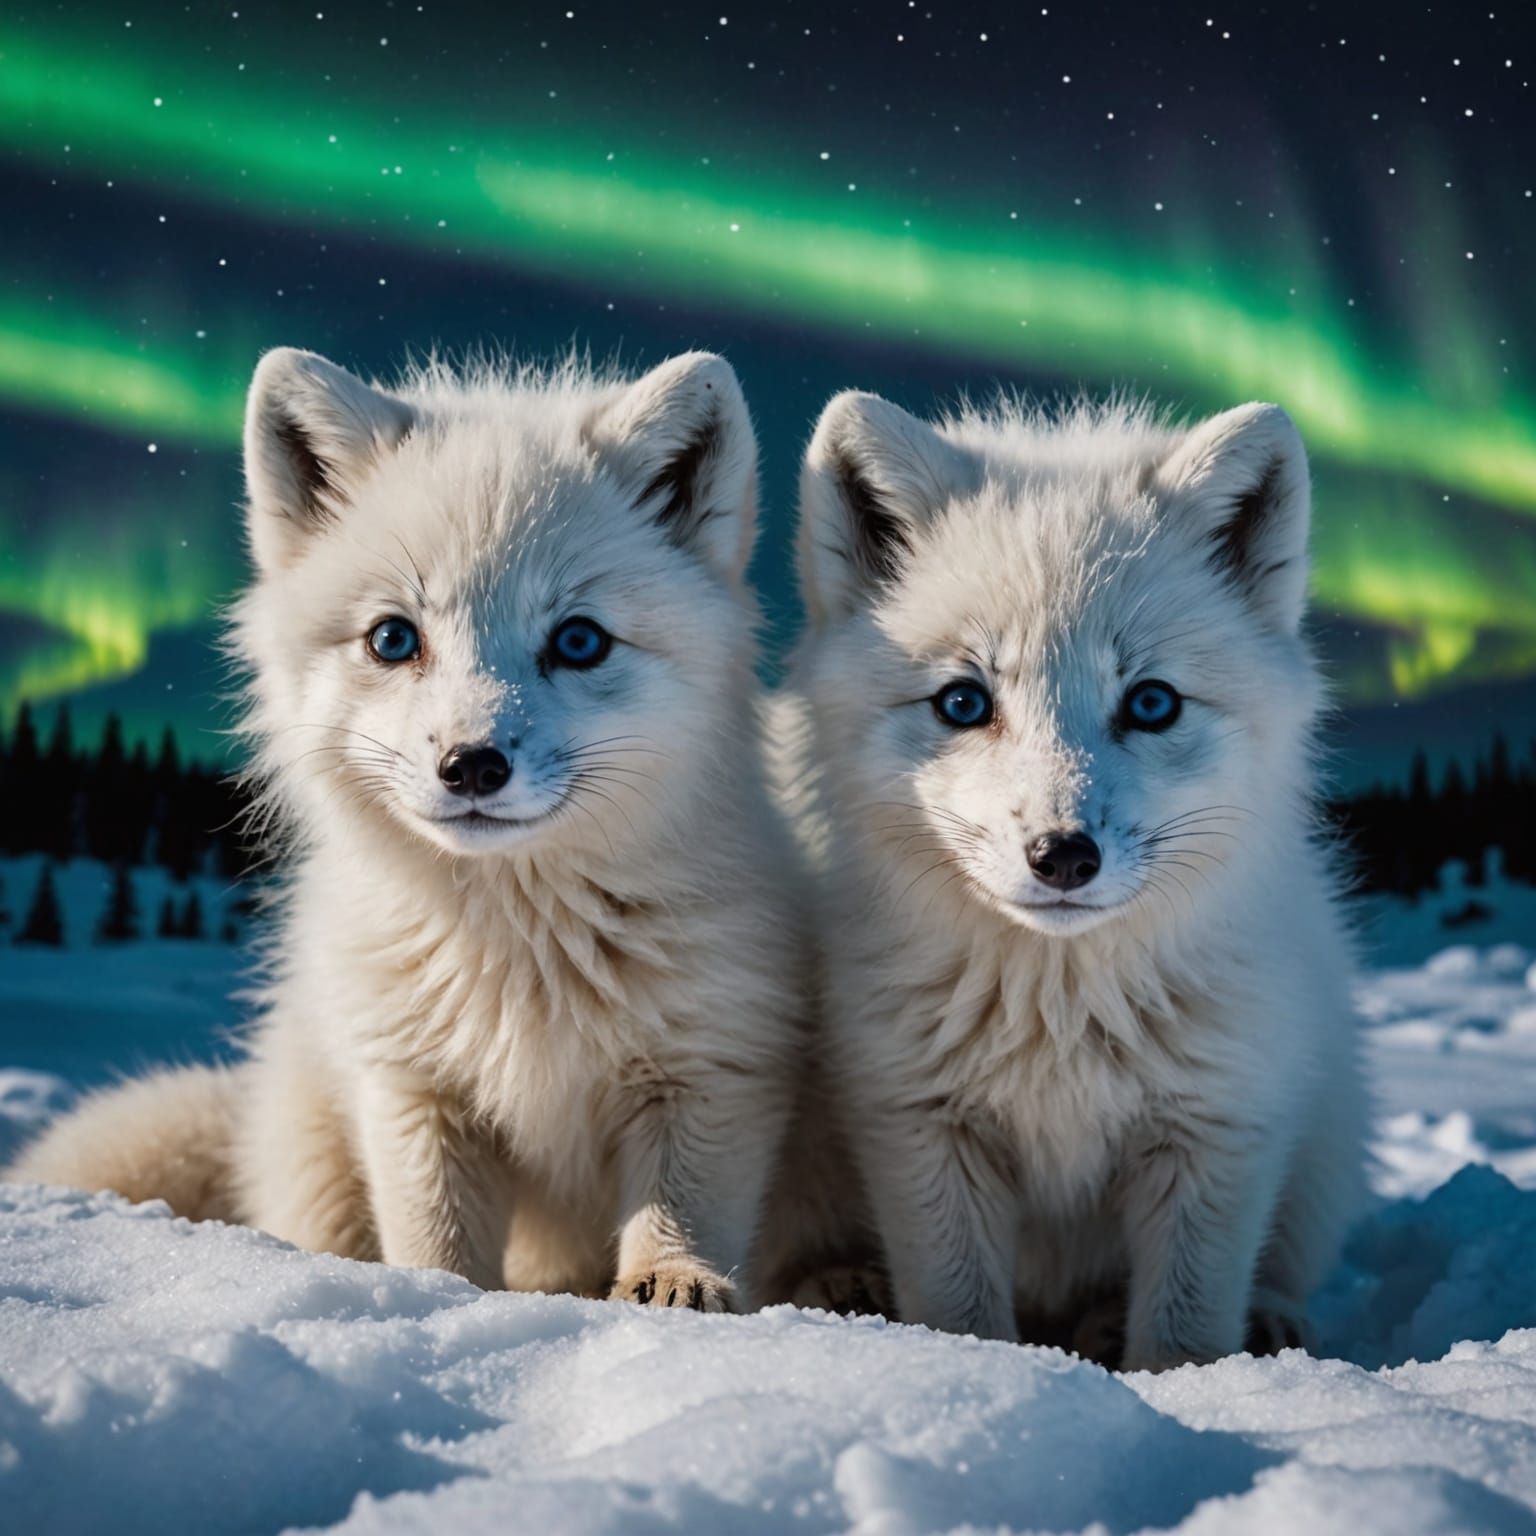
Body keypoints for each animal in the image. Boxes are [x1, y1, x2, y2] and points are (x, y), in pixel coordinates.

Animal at [11, 345, 804, 1311]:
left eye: (579, 641)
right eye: (394, 639)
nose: (471, 765)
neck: (521, 954)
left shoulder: (711, 1068)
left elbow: (678, 1213)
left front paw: (676, 1285)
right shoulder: (412, 1090)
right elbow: (436, 1241)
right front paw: (436, 1300)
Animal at [785, 389, 1368, 1369]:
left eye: (1152, 702)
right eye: (964, 702)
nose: (1063, 855)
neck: (1059, 1014)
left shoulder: (1216, 1129)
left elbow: (1182, 1332)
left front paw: (1188, 1383)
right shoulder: (919, 1125)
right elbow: (962, 1313)